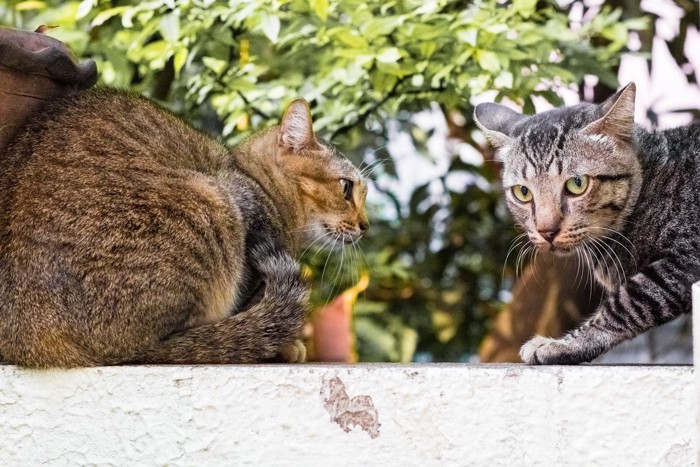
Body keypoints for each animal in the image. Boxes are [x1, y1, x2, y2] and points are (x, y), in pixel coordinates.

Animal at [476, 82, 700, 364]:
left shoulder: (686, 257)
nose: (546, 230)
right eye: (523, 192)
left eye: (577, 184)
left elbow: (627, 303)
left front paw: (563, 345)